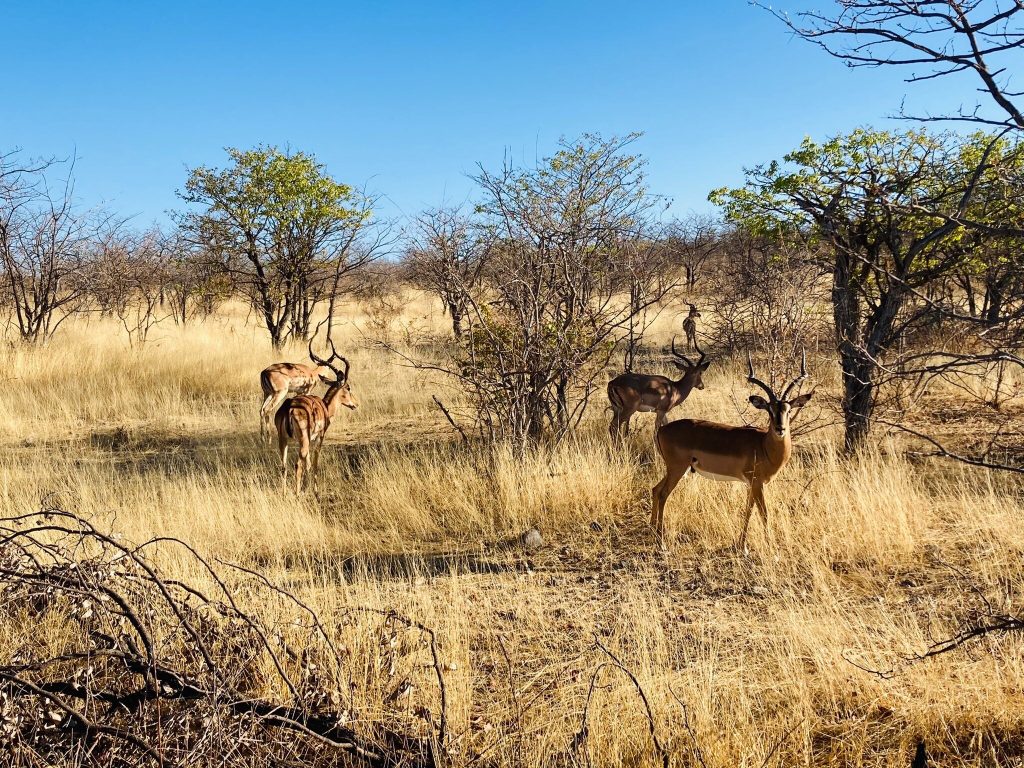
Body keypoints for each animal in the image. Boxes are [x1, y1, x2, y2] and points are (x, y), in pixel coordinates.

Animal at [274, 332, 358, 493]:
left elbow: (308, 463)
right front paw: (315, 490)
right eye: (348, 387)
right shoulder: (319, 437)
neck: (325, 406)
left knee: (283, 466)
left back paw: (284, 494)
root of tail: (289, 407)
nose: (356, 404)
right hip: (303, 441)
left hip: (284, 440)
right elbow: (314, 463)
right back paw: (297, 494)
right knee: (297, 465)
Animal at [650, 351, 812, 550]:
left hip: (674, 469)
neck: (763, 446)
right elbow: (764, 513)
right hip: (677, 469)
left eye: (788, 410)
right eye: (769, 410)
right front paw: (770, 547)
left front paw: (742, 546)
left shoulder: (752, 485)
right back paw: (661, 543)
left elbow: (748, 510)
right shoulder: (757, 483)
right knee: (663, 494)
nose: (780, 429)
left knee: (655, 489)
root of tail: (662, 430)